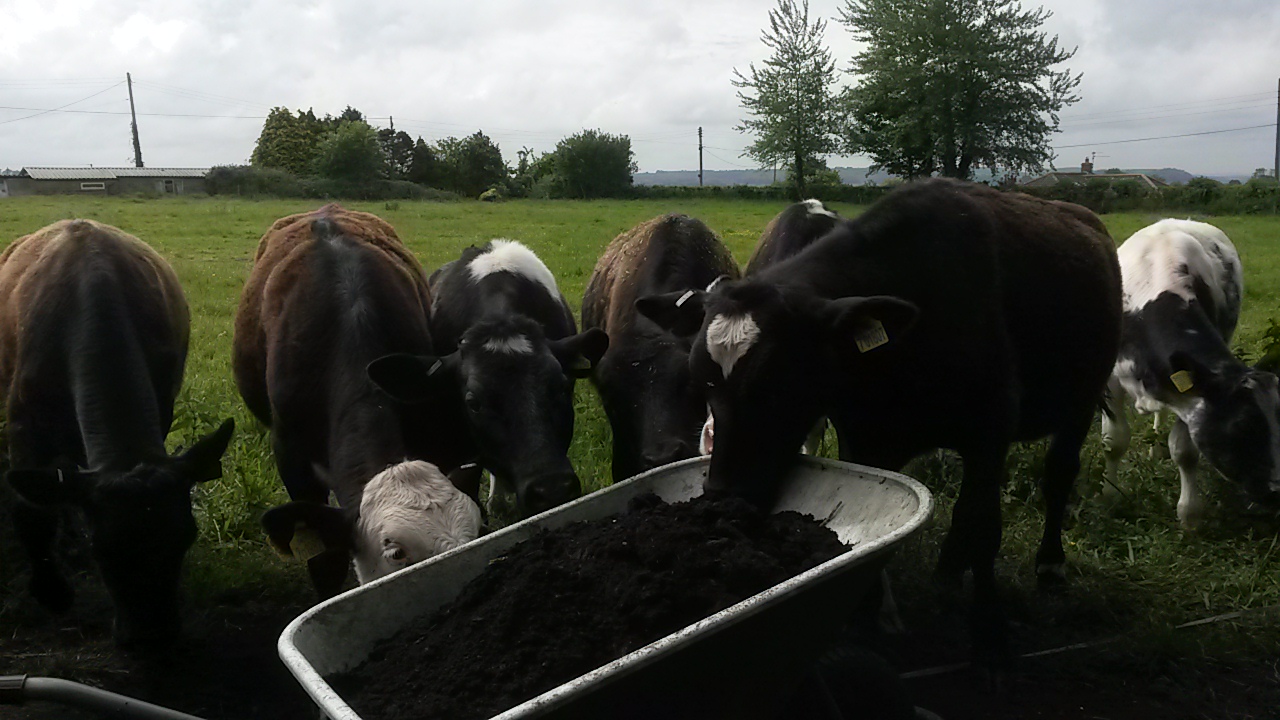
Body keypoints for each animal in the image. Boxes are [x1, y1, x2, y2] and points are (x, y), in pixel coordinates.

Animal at [0, 219, 234, 648]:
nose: (151, 637)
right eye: (103, 551)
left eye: (185, 538)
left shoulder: (162, 402)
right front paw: (52, 591)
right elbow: (31, 510)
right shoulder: (25, 420)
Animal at [636, 178, 1123, 665]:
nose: (720, 496)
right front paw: (868, 614)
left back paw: (1050, 564)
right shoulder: (863, 437)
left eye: (778, 384)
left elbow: (985, 527)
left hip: (1081, 400)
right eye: (703, 380)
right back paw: (948, 570)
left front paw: (990, 635)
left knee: (1057, 475)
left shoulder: (991, 430)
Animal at [1101, 218, 1280, 528]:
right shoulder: (1112, 379)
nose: (1276, 490)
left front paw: (1189, 513)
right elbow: (1114, 441)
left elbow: (1185, 451)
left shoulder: (1192, 392)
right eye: (1243, 425)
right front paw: (1110, 496)